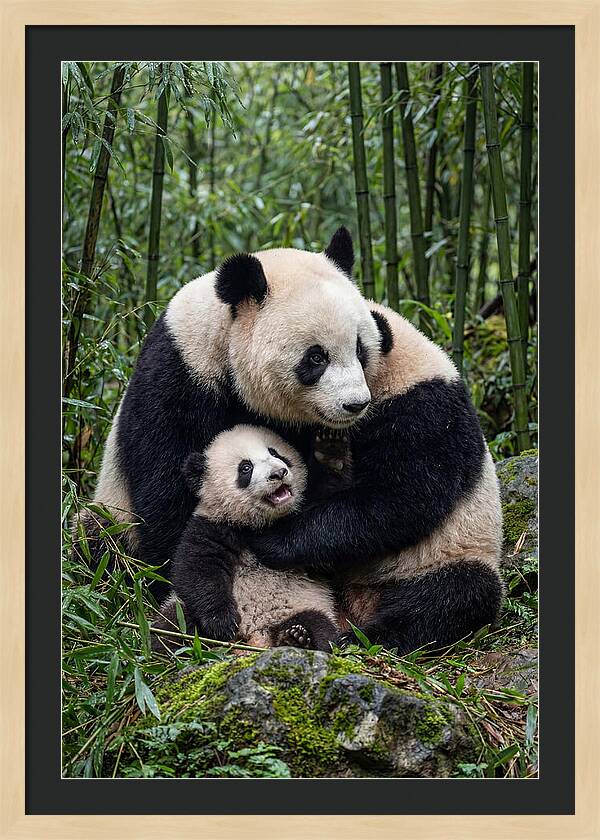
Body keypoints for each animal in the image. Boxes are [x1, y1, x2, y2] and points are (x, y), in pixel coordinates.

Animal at [79, 228, 382, 607]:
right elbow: (169, 490)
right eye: (316, 358)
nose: (355, 404)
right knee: (97, 541)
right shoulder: (179, 379)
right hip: (111, 509)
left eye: (360, 348)